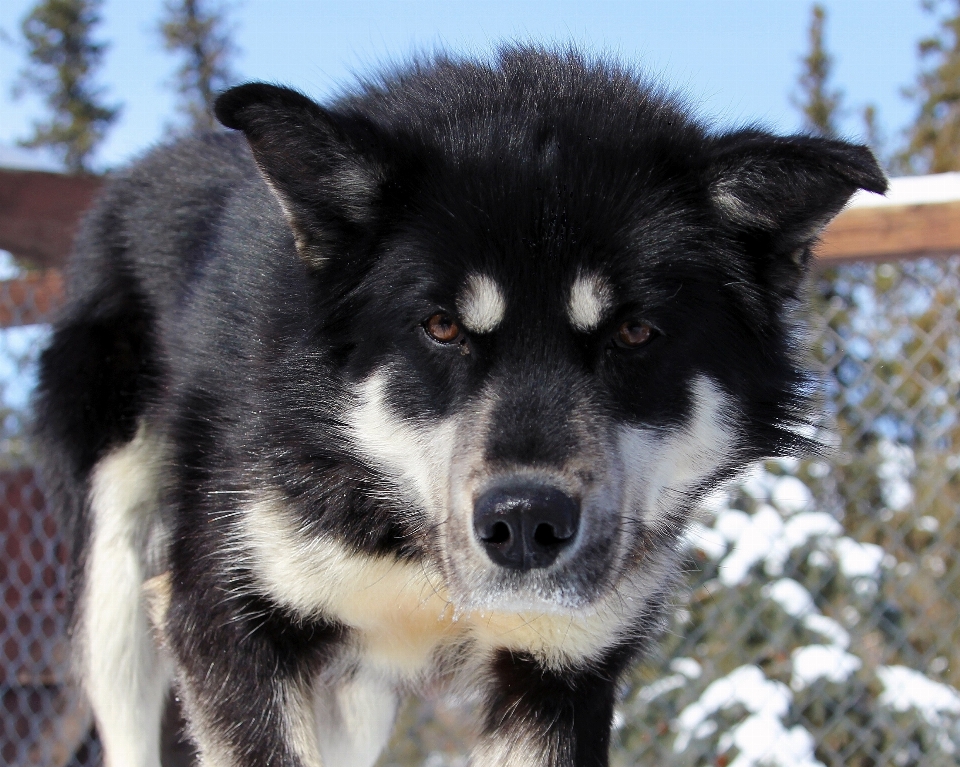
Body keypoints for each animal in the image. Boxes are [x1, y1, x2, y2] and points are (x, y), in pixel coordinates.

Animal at [33, 46, 888, 767]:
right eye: (442, 326)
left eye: (635, 332)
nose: (526, 522)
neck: (408, 541)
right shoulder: (224, 623)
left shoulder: (559, 671)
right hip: (122, 580)